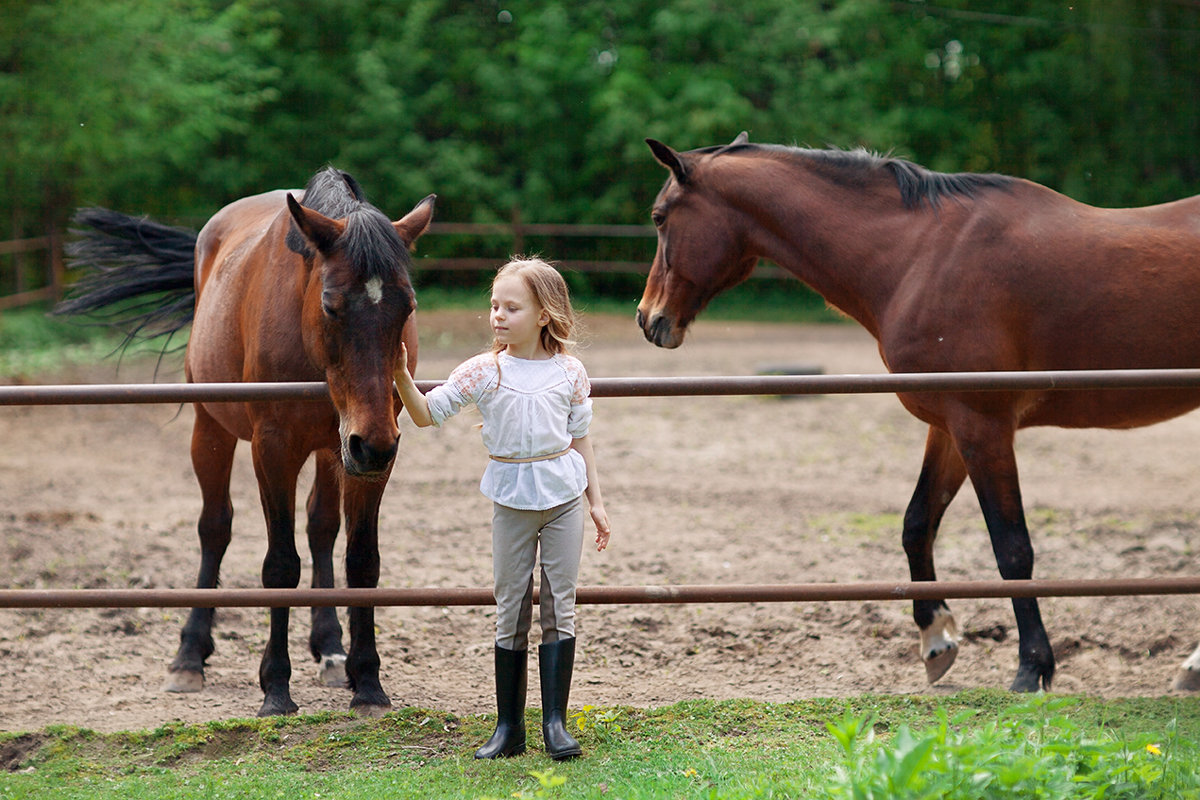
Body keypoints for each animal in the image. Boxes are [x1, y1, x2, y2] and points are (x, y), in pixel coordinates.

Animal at [59, 169, 436, 719]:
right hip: (213, 431)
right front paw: (275, 687)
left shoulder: (370, 452)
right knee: (214, 528)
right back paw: (189, 656)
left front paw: (366, 681)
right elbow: (279, 564)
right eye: (331, 305)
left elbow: (362, 559)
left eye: (406, 306)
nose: (373, 444)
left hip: (336, 449)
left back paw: (330, 649)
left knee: (321, 527)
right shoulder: (274, 450)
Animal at [643, 133, 1200, 695]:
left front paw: (1032, 666)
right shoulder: (949, 427)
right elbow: (917, 523)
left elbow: (1012, 547)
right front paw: (936, 638)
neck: (921, 256)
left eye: (659, 216)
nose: (649, 318)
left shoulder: (982, 427)